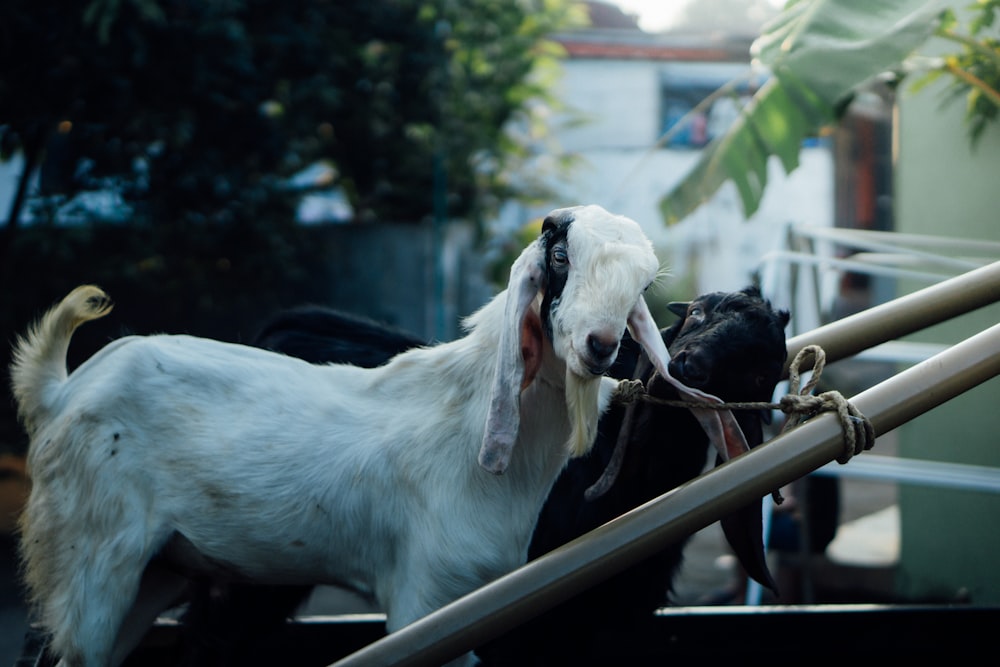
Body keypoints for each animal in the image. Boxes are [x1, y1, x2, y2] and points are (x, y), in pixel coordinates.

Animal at [9, 205, 752, 667]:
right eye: (562, 256)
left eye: (643, 284)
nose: (600, 344)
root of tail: (62, 389)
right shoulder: (424, 597)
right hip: (92, 558)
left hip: (159, 567)